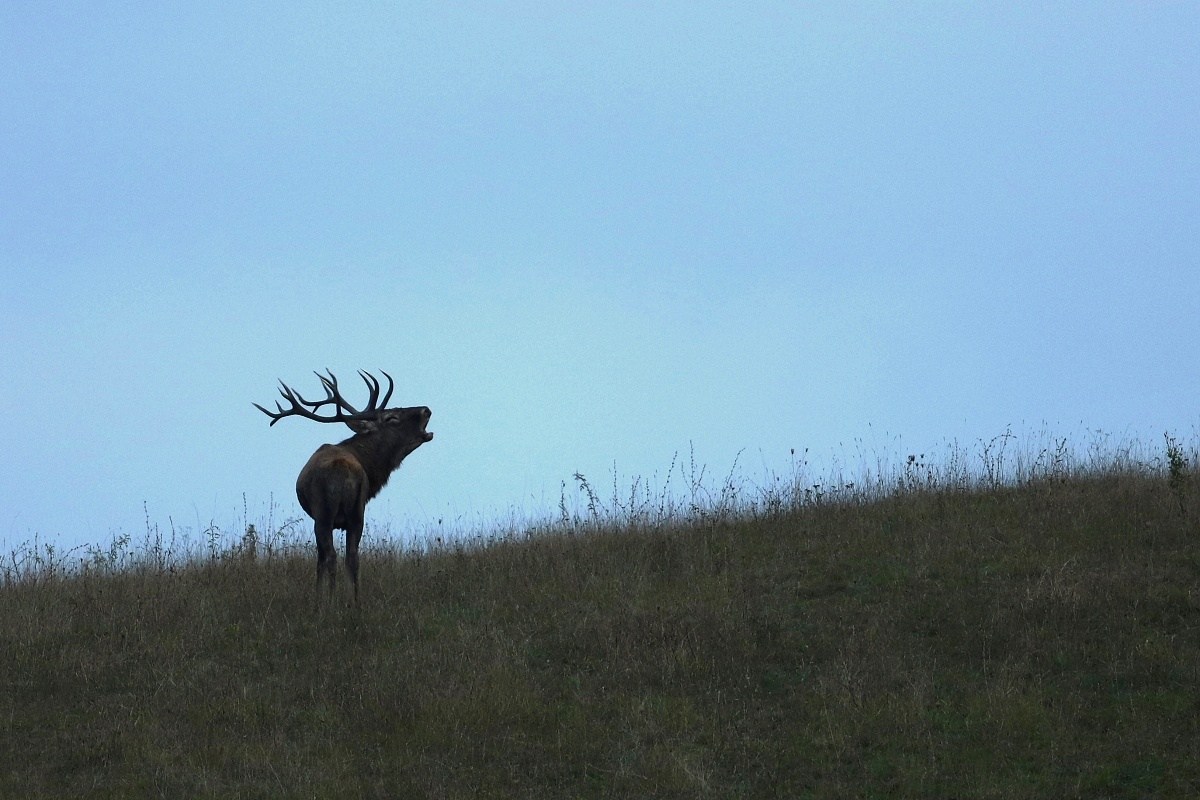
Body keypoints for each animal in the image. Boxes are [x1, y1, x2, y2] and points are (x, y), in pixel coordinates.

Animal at [255, 369, 434, 599]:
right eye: (391, 417)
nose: (426, 410)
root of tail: (343, 470)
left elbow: (320, 561)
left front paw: (319, 597)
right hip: (356, 513)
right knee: (352, 557)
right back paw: (354, 602)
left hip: (324, 514)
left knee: (331, 557)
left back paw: (331, 600)